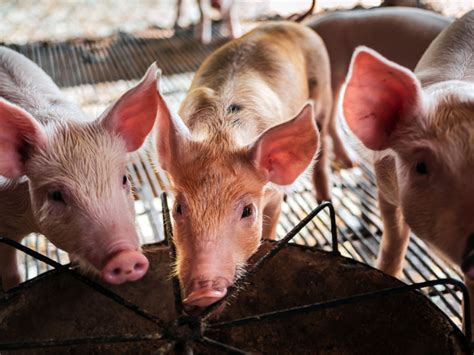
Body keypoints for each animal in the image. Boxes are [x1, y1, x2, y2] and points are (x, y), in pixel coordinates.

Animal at [154, 22, 328, 316]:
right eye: (178, 208)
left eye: (248, 211)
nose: (203, 293)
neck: (221, 135)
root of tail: (290, 24)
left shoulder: (274, 196)